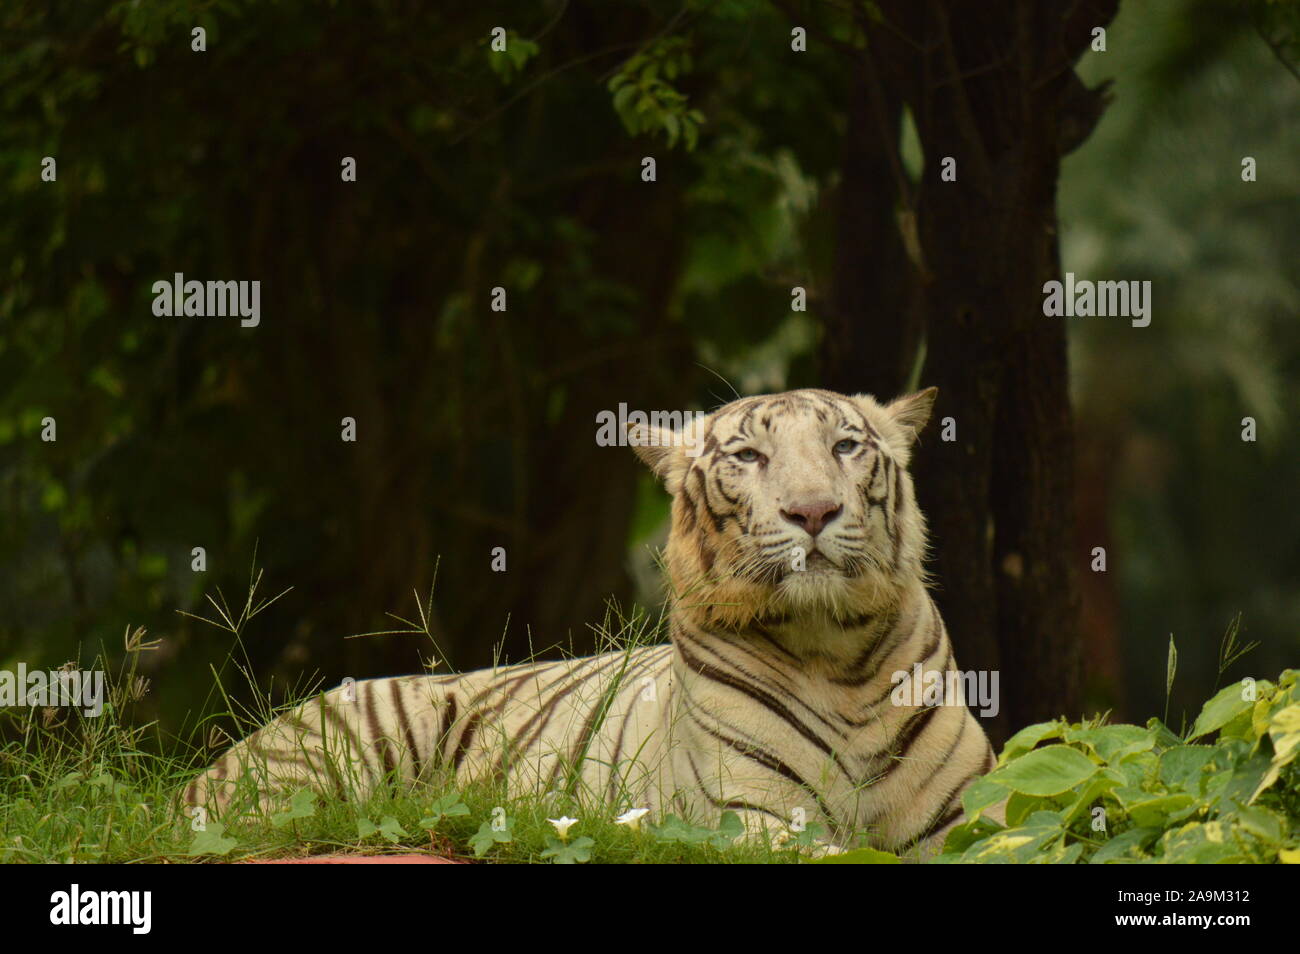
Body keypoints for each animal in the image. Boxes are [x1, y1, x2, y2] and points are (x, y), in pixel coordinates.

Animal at [183, 386, 997, 857]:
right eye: (748, 456)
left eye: (845, 446)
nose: (814, 511)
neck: (836, 653)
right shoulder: (752, 815)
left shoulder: (975, 812)